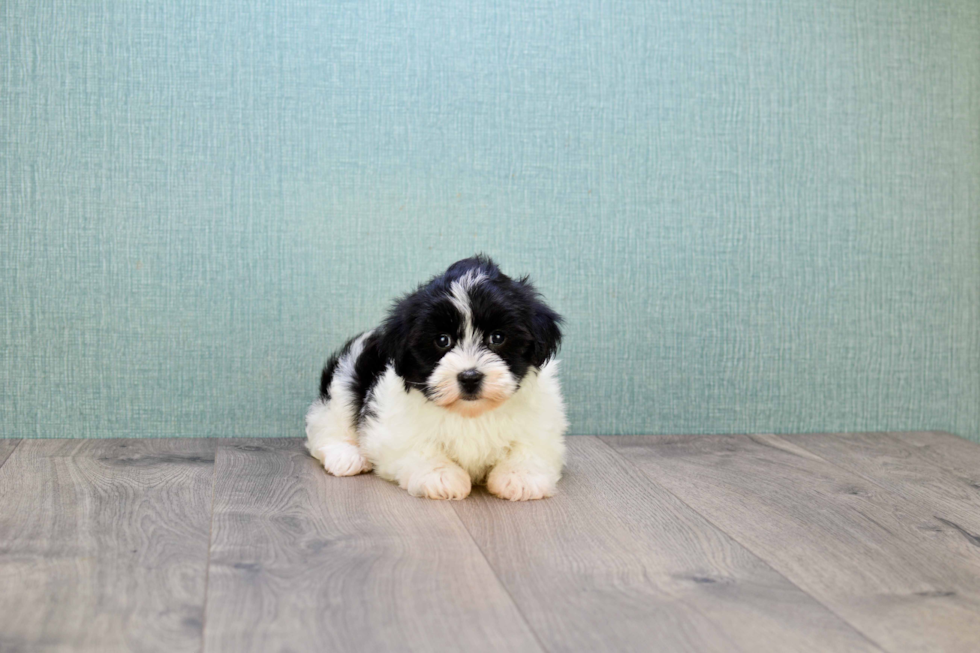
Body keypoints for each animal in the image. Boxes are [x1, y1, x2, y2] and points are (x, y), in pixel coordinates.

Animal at [304, 255, 568, 500]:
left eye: (497, 337)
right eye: (442, 340)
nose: (469, 377)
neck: (470, 414)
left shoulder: (541, 420)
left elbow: (531, 445)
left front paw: (520, 476)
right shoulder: (394, 427)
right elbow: (418, 448)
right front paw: (441, 476)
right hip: (345, 379)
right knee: (328, 425)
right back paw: (346, 455)